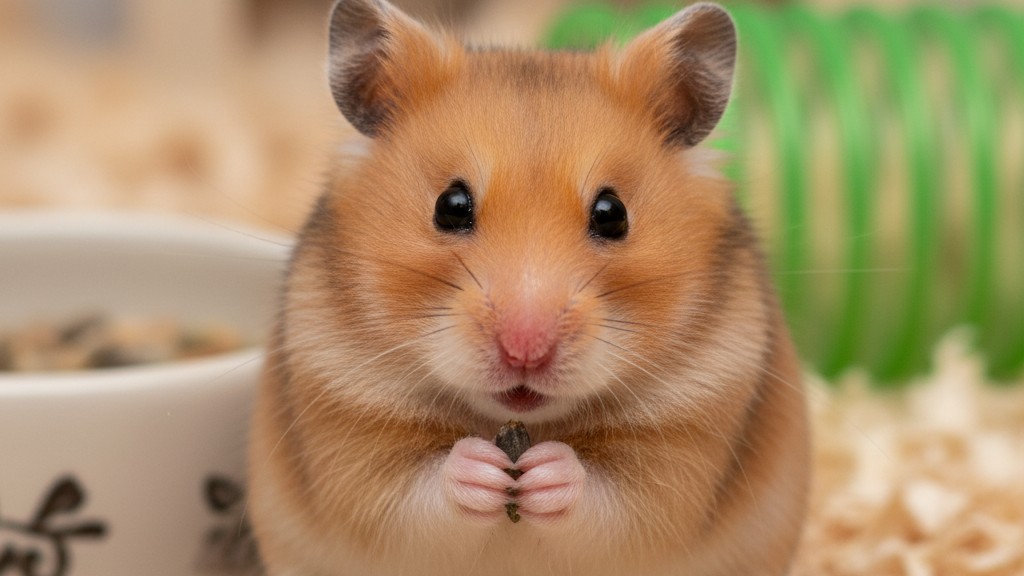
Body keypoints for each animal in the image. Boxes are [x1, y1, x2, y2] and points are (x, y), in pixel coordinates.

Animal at [247, 1, 810, 575]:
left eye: (612, 213)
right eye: (450, 205)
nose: (525, 350)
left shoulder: (689, 441)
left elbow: (619, 502)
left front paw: (545, 471)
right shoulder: (345, 426)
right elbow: (409, 495)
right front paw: (484, 468)